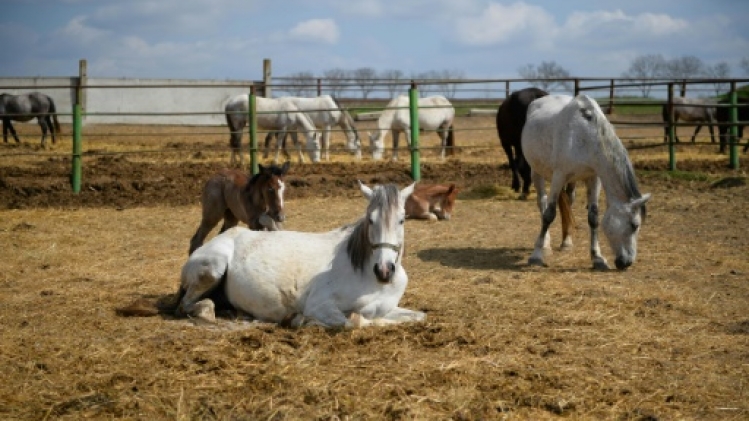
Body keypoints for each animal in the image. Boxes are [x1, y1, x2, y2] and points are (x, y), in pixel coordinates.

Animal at [176, 181, 426, 328]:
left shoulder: (388, 309)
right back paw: (207, 310)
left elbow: (419, 316)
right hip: (213, 269)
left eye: (402, 220)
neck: (367, 276)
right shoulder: (320, 305)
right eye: (370, 220)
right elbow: (355, 322)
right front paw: (302, 320)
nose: (384, 270)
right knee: (187, 304)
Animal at [522, 94, 651, 271]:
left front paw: (597, 258)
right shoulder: (559, 176)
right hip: (537, 172)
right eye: (634, 225)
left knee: (568, 204)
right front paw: (536, 255)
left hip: (572, 182)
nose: (626, 262)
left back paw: (566, 242)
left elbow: (593, 217)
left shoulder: (593, 178)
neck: (585, 135)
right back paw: (545, 245)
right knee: (542, 202)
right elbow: (549, 215)